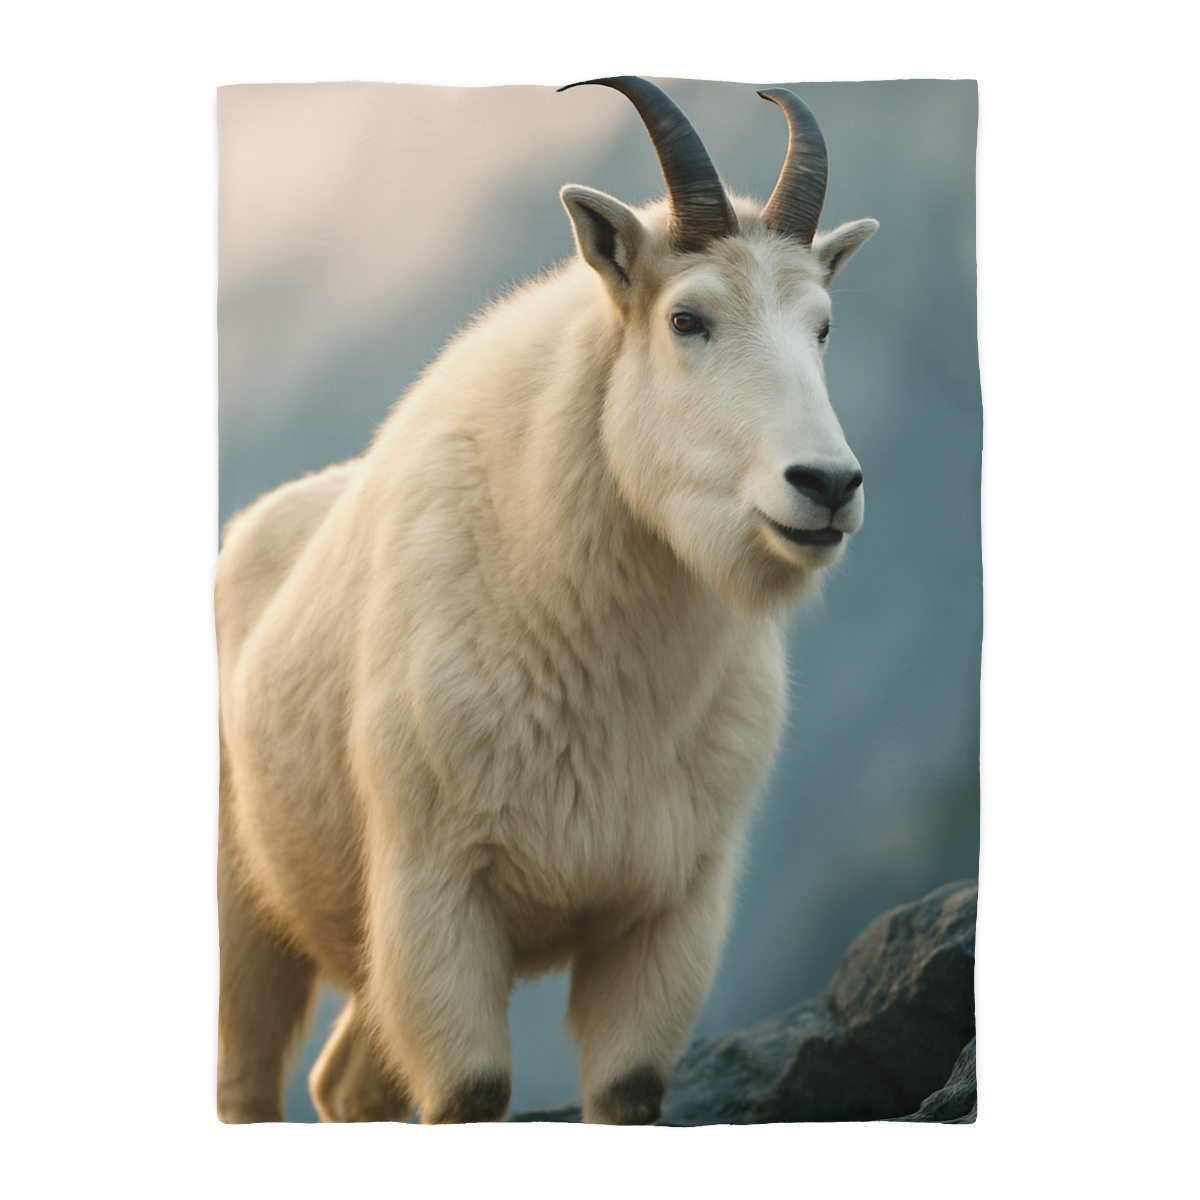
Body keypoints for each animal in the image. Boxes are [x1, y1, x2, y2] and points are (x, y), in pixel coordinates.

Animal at [216, 76, 879, 1124]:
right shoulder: (437, 895)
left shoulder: (670, 912)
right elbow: (470, 1091)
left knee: (349, 1082)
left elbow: (627, 1089)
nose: (826, 485)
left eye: (822, 325)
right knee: (248, 1081)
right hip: (246, 909)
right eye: (687, 319)